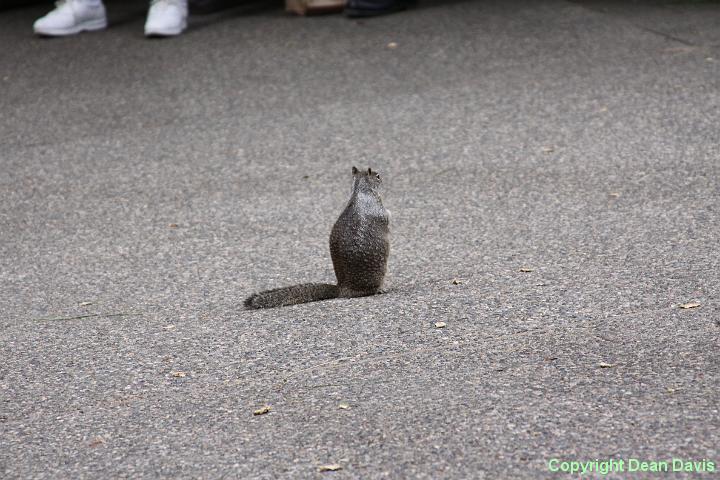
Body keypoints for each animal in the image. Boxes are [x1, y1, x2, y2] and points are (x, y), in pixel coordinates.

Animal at [242, 167, 390, 310]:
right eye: (377, 176)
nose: (382, 179)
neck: (361, 192)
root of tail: (343, 289)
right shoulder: (380, 210)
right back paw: (381, 289)